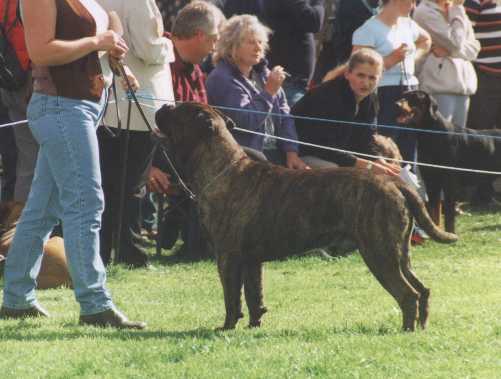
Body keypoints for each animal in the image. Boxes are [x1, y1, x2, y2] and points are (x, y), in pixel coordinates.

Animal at [156, 102, 458, 332]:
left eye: (178, 110)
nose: (163, 106)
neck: (221, 167)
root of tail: (395, 183)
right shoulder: (251, 261)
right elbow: (254, 295)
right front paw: (254, 326)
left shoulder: (228, 257)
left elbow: (232, 298)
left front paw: (226, 328)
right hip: (398, 252)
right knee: (422, 289)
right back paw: (421, 326)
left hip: (380, 253)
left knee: (408, 294)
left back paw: (406, 329)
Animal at [398, 91, 501, 235]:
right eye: (403, 95)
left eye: (414, 97)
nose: (396, 104)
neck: (431, 134)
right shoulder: (431, 181)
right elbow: (434, 210)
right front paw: (436, 233)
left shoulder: (449, 183)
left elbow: (448, 214)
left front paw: (451, 233)